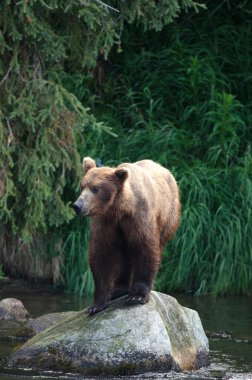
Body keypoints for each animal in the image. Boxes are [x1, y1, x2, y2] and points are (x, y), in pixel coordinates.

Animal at [72, 157, 180, 314]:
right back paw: (119, 288)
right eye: (82, 186)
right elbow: (101, 255)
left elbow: (144, 248)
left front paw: (137, 296)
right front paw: (97, 305)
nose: (77, 205)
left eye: (95, 188)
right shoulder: (105, 222)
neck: (120, 209)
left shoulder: (138, 217)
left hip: (168, 215)